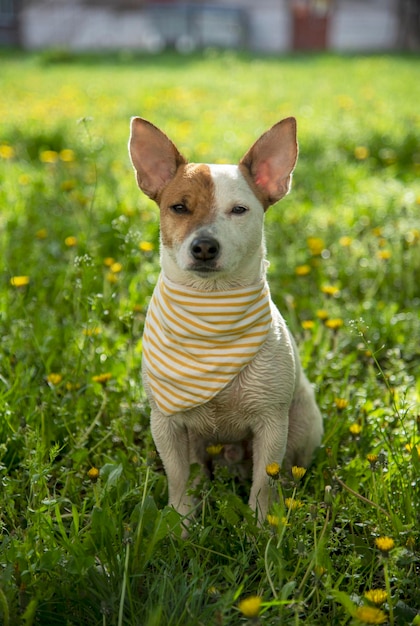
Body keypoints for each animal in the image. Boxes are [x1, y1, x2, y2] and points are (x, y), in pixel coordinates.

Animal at [128, 116, 322, 520]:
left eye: (239, 210)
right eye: (179, 207)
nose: (204, 246)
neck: (211, 312)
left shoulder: (271, 424)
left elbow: (264, 484)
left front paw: (262, 525)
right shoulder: (165, 424)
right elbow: (178, 479)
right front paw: (181, 522)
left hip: (303, 422)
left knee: (289, 468)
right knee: (197, 469)